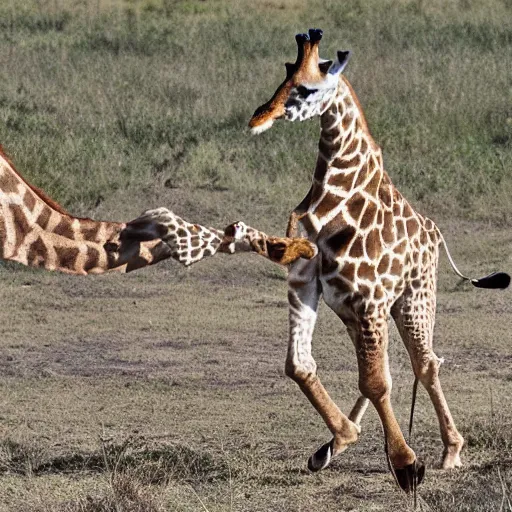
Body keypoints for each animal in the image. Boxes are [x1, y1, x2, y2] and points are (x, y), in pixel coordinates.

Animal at [247, 29, 508, 492]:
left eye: (308, 88)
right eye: (284, 73)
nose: (259, 117)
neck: (329, 199)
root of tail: (434, 232)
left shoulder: (368, 300)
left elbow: (376, 381)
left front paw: (406, 464)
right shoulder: (308, 287)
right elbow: (301, 366)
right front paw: (343, 440)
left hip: (413, 300)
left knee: (426, 364)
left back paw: (451, 450)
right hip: (363, 312)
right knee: (391, 372)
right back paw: (331, 447)